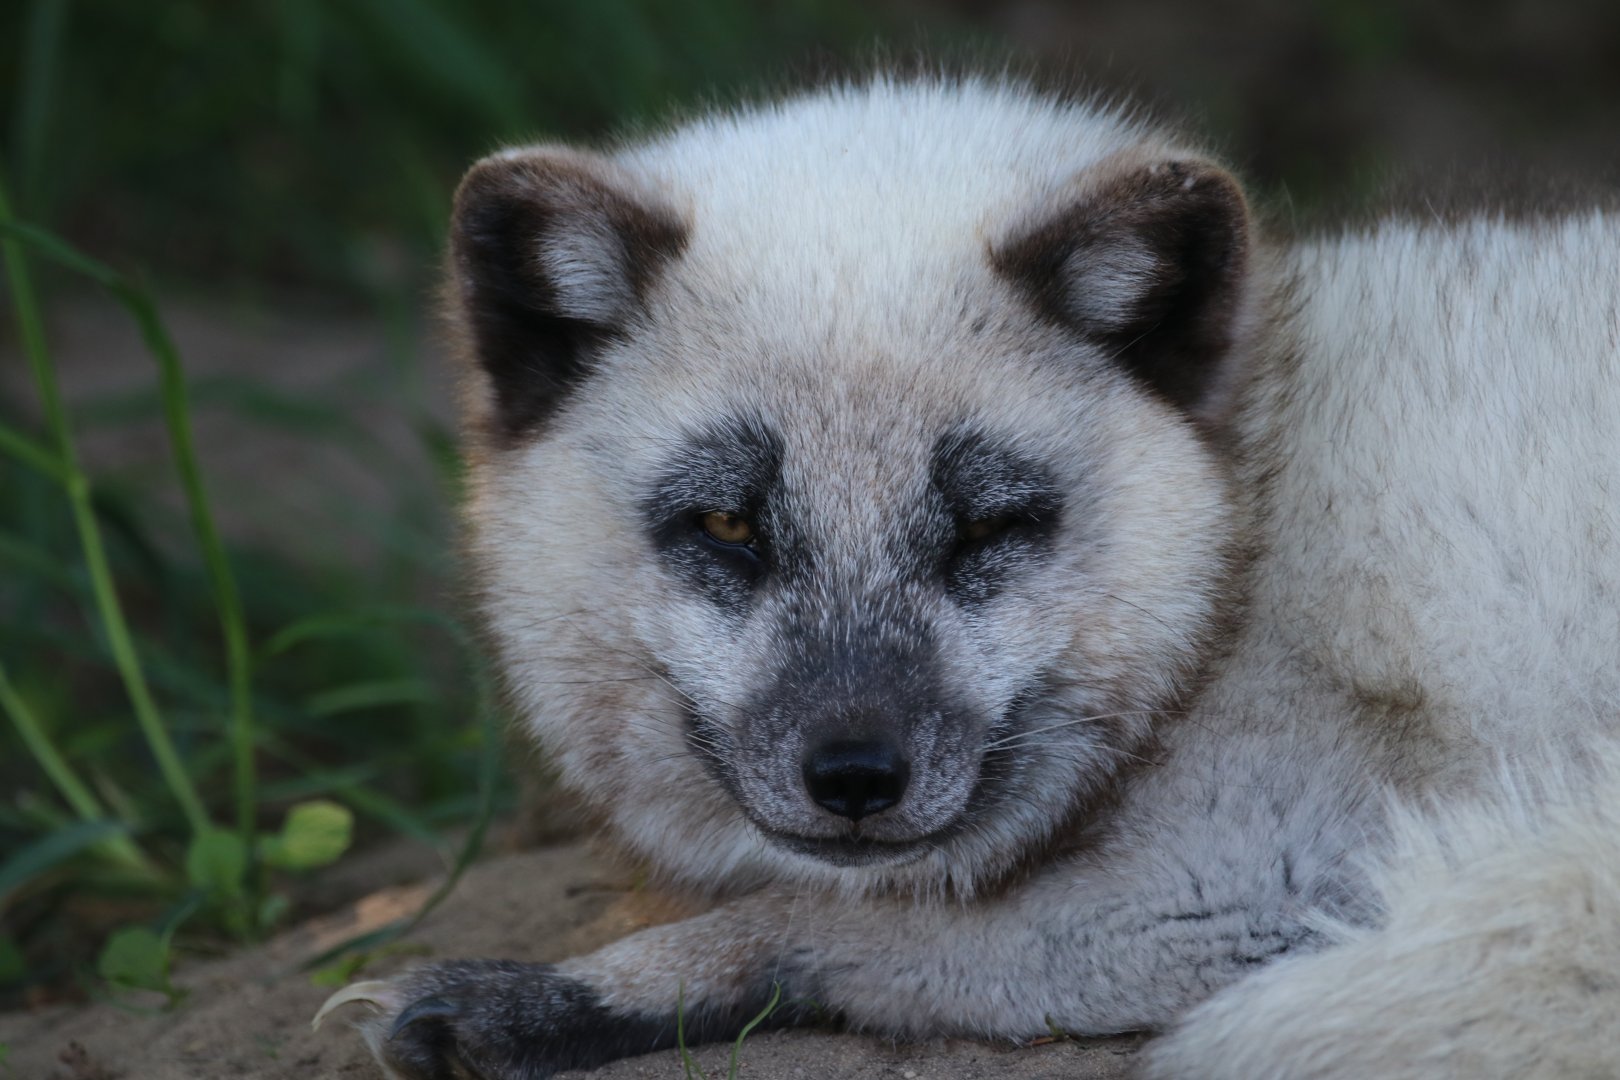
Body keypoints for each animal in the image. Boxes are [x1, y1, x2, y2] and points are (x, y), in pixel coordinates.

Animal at [316, 76, 1620, 1078]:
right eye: (729, 523)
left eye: (989, 525)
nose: (854, 777)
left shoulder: (1254, 874)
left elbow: (808, 921)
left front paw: (543, 997)